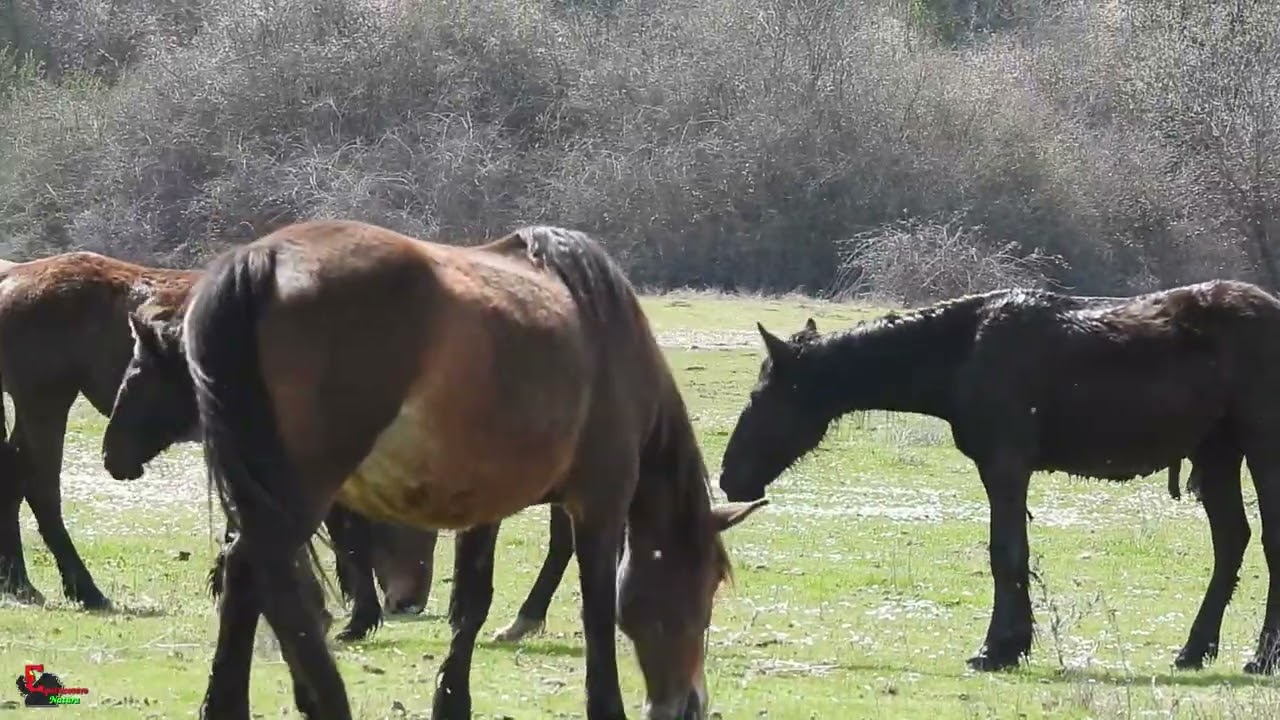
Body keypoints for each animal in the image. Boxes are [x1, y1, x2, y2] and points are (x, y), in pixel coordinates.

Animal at [108, 218, 765, 719]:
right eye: (707, 585)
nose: (689, 705)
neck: (609, 340)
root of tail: (262, 261)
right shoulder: (599, 505)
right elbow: (597, 610)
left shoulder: (486, 507)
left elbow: (470, 603)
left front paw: (453, 701)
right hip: (301, 491)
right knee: (258, 568)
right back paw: (323, 697)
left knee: (245, 574)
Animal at [718, 281, 1280, 675]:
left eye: (763, 397)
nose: (728, 478)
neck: (962, 353)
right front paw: (1012, 643)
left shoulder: (1005, 464)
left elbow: (1006, 554)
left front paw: (999, 647)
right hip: (1218, 454)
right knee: (1232, 540)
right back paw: (1194, 649)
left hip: (1261, 450)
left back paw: (1262, 657)